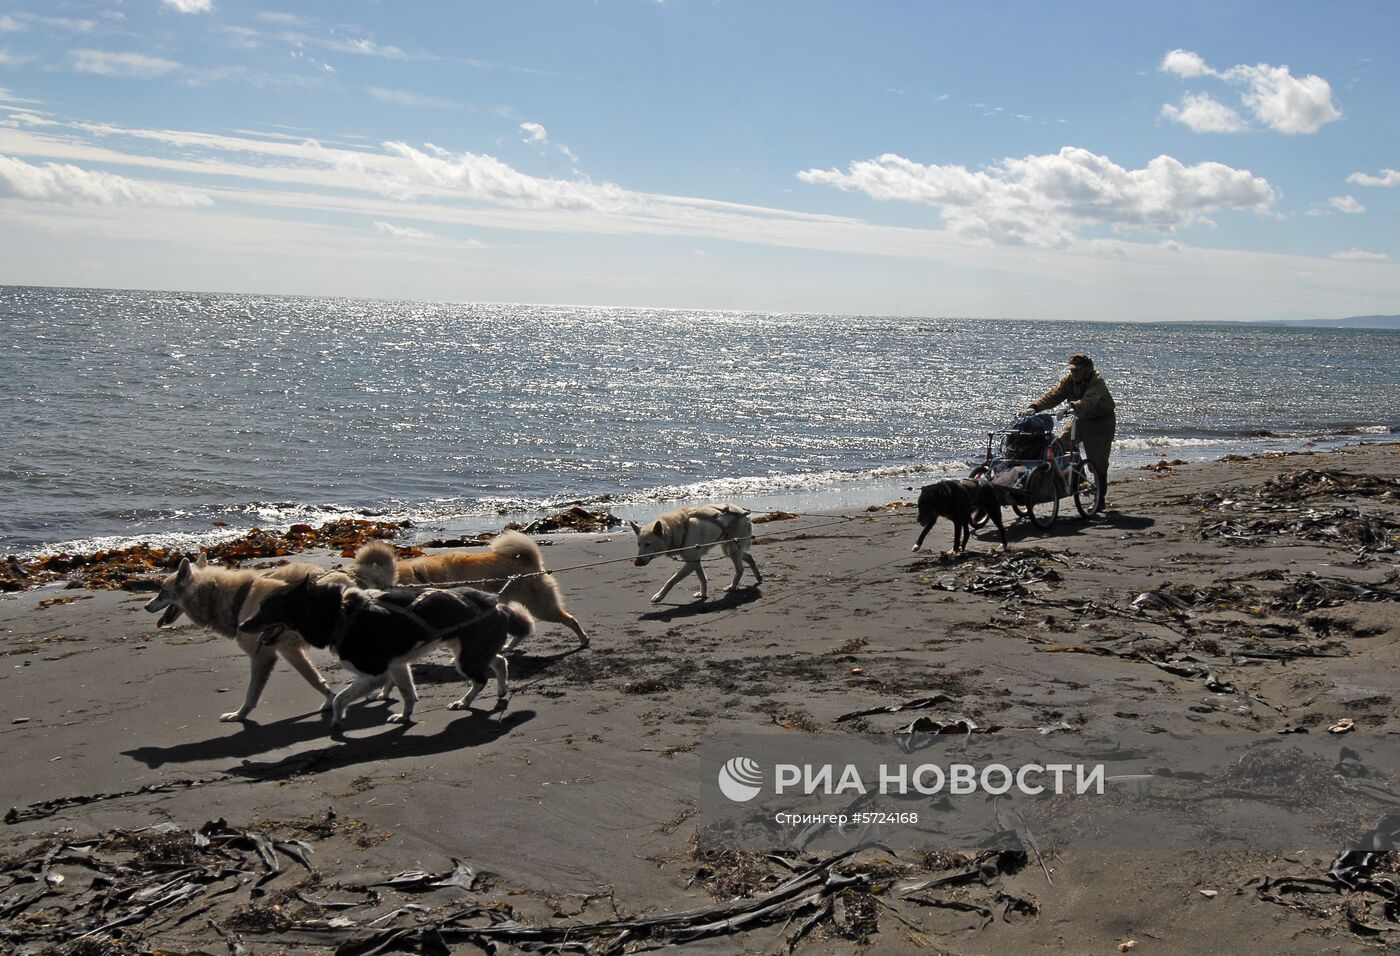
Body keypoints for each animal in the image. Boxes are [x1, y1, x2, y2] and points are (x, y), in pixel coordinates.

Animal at [238, 576, 532, 733]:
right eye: (260, 605)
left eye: (267, 608)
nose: (241, 626)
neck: (340, 613)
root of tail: (498, 606)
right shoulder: (397, 666)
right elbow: (408, 694)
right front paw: (403, 717)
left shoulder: (374, 673)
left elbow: (340, 698)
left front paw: (337, 721)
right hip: (467, 652)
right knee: (499, 661)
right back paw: (501, 690)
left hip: (465, 658)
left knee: (481, 677)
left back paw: (464, 702)